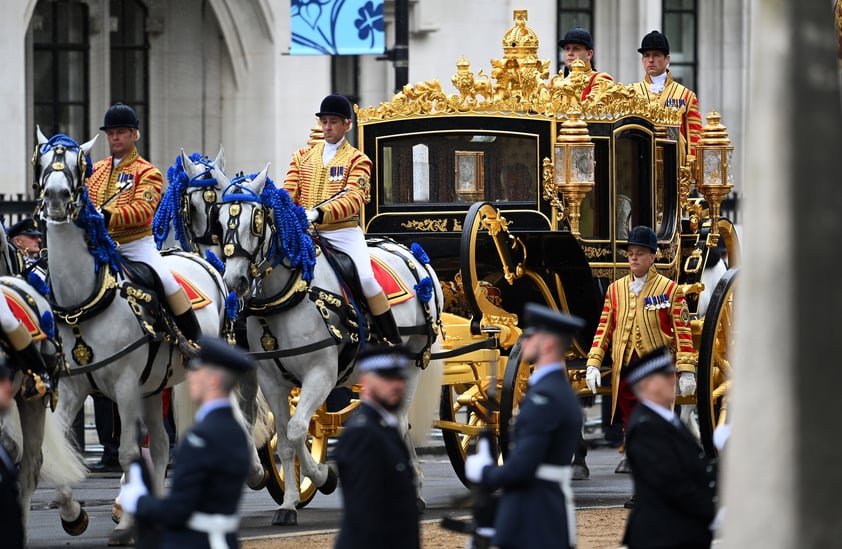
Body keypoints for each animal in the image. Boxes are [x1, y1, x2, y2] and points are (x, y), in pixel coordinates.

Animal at [32, 130, 228, 544]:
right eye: (41, 162)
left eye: (77, 164)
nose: (55, 197)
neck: (84, 301)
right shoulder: (74, 388)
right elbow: (57, 454)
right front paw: (73, 514)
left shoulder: (123, 385)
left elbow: (126, 453)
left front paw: (124, 524)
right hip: (154, 386)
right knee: (163, 444)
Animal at [213, 168, 442, 528]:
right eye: (220, 220)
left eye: (257, 221)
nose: (235, 280)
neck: (289, 294)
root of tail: (414, 256)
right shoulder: (271, 380)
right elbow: (285, 438)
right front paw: (290, 503)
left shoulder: (320, 374)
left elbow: (296, 430)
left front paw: (324, 476)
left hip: (408, 365)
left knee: (398, 422)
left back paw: (414, 491)